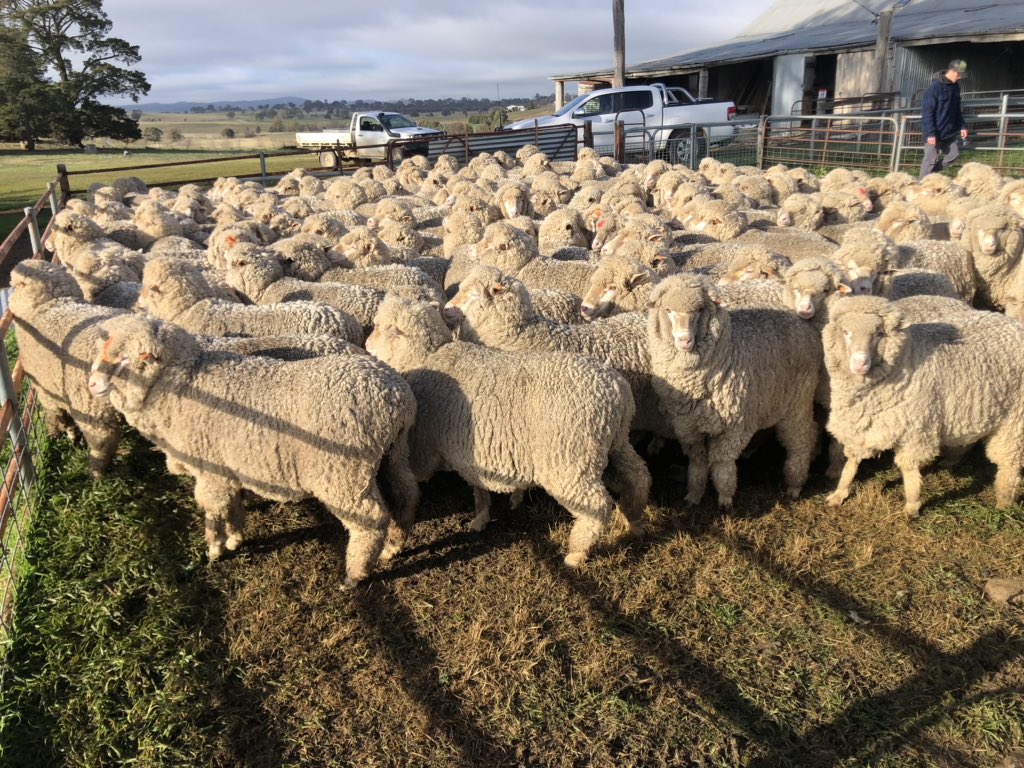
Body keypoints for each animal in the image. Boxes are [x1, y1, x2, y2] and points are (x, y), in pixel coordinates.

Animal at [87, 313, 418, 586]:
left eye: (128, 358)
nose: (92, 385)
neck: (182, 383)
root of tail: (395, 396)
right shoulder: (225, 467)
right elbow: (232, 503)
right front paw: (235, 536)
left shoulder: (210, 469)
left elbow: (213, 508)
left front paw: (215, 548)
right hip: (394, 454)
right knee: (406, 494)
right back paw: (394, 546)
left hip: (342, 474)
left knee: (370, 521)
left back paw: (355, 574)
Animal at [366, 291, 649, 566]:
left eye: (382, 328)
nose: (367, 346)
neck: (429, 355)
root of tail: (615, 389)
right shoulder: (468, 450)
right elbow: (477, 486)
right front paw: (481, 516)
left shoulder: (425, 447)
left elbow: (411, 488)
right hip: (616, 442)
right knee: (638, 476)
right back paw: (634, 520)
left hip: (570, 461)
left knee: (597, 506)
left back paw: (577, 553)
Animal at [646, 274, 821, 508]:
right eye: (667, 310)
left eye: (699, 309)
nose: (684, 340)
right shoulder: (687, 426)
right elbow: (697, 462)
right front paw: (694, 494)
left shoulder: (734, 424)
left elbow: (722, 462)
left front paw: (725, 498)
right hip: (769, 398)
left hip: (798, 400)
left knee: (801, 438)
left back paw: (795, 483)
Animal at [822, 295, 1024, 514]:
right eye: (845, 332)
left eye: (879, 333)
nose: (860, 363)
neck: (905, 358)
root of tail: (1012, 324)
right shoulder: (861, 424)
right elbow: (852, 462)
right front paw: (840, 492)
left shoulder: (916, 430)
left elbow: (909, 468)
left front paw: (912, 504)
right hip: (975, 407)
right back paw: (951, 459)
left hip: (1015, 420)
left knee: (1009, 462)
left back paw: (1004, 499)